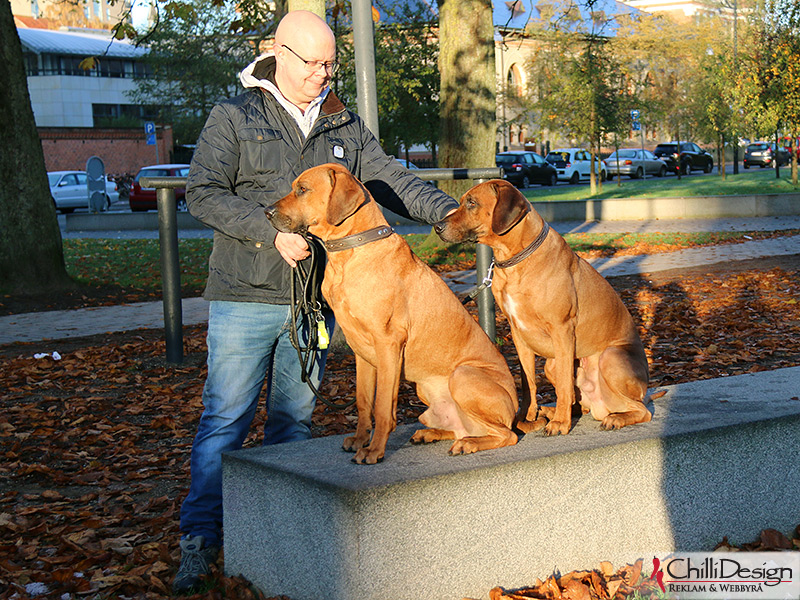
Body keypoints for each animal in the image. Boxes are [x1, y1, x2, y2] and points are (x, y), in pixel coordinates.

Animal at [434, 178, 652, 436]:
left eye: (472, 203)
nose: (437, 226)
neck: (516, 260)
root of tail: (603, 406)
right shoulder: (518, 334)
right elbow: (528, 381)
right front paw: (525, 417)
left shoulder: (562, 329)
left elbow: (564, 387)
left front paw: (560, 423)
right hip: (552, 364)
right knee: (580, 402)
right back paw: (557, 411)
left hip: (611, 357)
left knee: (642, 410)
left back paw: (613, 418)